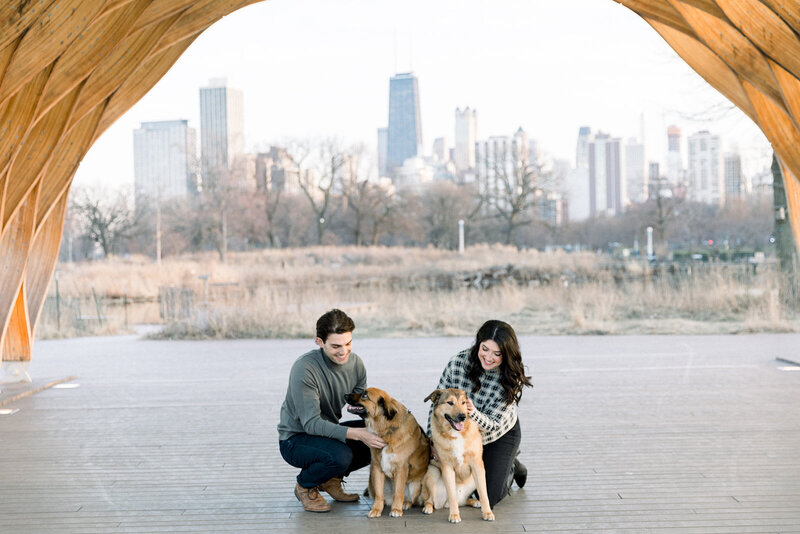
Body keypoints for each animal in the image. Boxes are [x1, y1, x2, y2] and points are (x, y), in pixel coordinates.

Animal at [344, 390, 432, 520]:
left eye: (365, 395)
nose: (345, 395)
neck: (386, 431)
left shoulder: (401, 469)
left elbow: (398, 492)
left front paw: (396, 510)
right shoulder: (376, 467)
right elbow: (379, 495)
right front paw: (376, 509)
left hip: (417, 485)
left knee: (418, 500)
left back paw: (414, 505)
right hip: (371, 482)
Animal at [418, 390, 494, 524]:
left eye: (463, 402)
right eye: (450, 402)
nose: (462, 416)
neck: (456, 433)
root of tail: (443, 504)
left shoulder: (477, 465)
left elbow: (484, 493)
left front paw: (487, 513)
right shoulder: (447, 467)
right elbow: (452, 494)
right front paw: (454, 515)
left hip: (475, 478)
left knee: (464, 500)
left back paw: (474, 501)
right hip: (433, 472)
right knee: (430, 499)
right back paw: (428, 507)